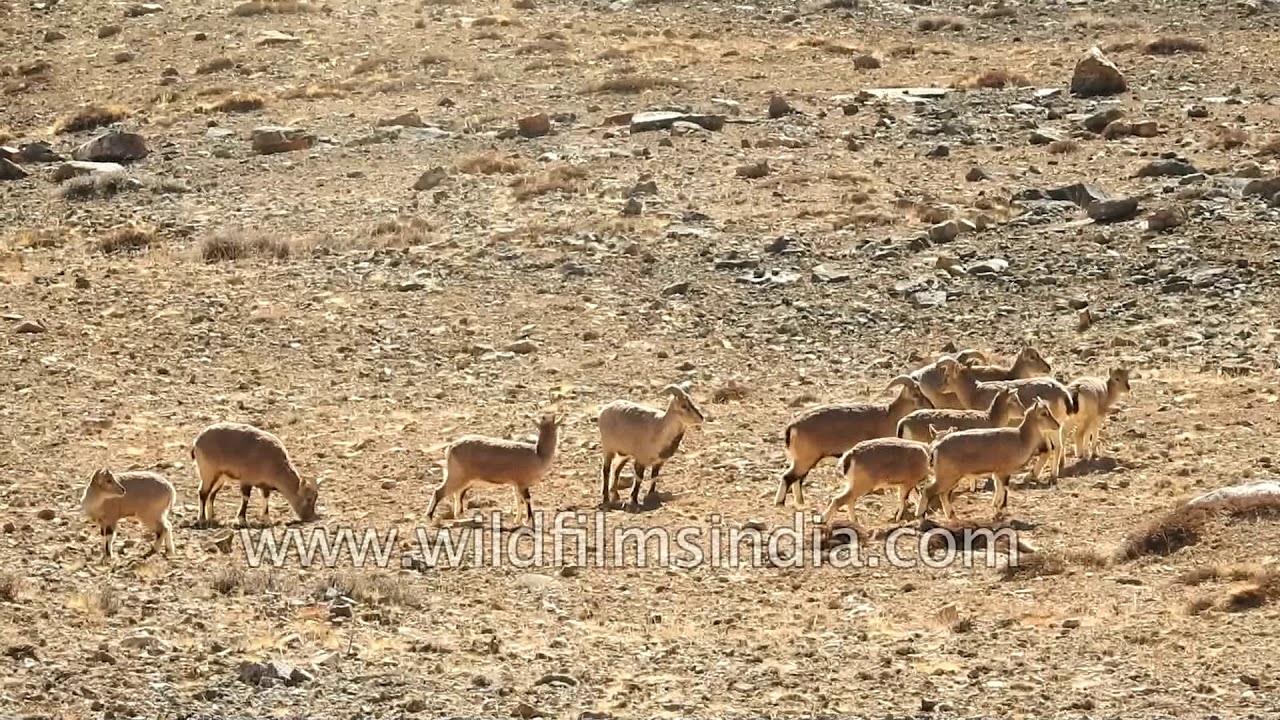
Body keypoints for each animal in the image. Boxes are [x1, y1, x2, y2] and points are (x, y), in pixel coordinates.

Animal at [426, 413, 561, 525]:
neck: (538, 455)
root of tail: (451, 448)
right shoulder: (522, 483)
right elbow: (526, 499)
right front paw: (528, 521)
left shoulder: (516, 484)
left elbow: (518, 500)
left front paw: (517, 520)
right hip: (457, 476)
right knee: (439, 491)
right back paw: (430, 518)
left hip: (464, 479)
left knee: (458, 493)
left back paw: (461, 516)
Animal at [776, 376, 933, 508]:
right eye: (916, 393)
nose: (930, 406)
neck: (889, 416)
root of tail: (792, 427)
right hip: (805, 460)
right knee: (788, 477)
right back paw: (780, 503)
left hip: (804, 461)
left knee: (797, 480)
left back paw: (800, 502)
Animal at [918, 398, 1063, 519]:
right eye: (1044, 413)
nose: (1057, 425)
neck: (1021, 439)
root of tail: (936, 448)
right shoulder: (1005, 471)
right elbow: (1004, 489)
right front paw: (1002, 510)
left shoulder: (997, 472)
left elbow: (998, 487)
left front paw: (996, 508)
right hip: (948, 476)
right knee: (929, 491)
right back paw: (921, 516)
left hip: (950, 477)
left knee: (943, 494)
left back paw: (952, 516)